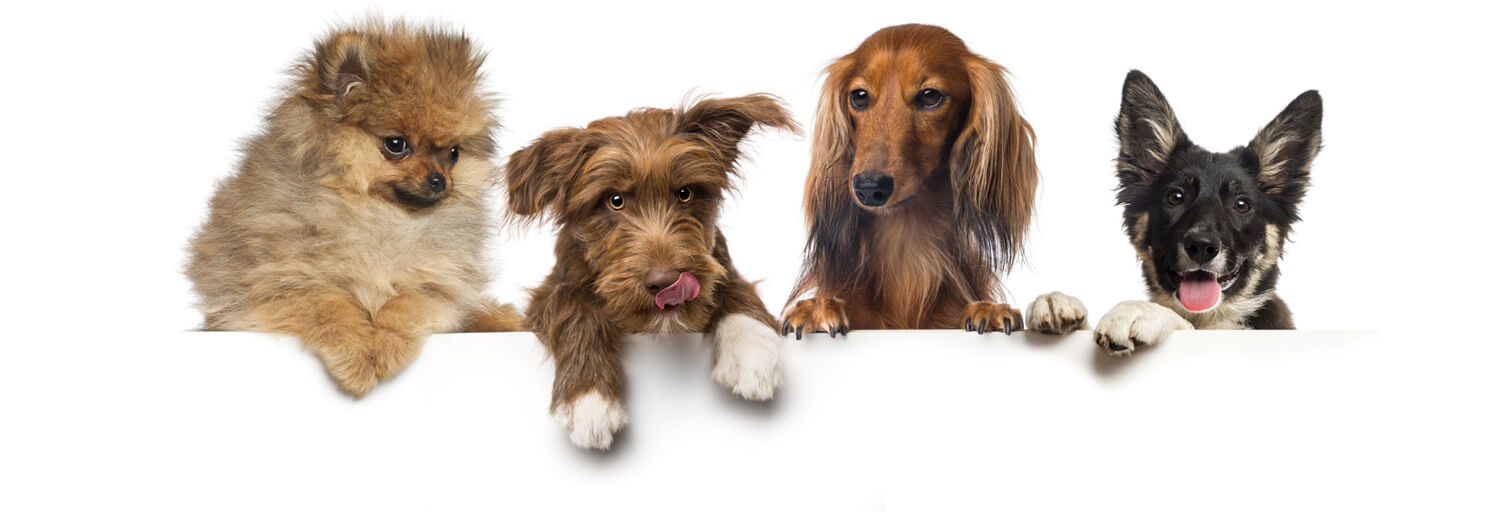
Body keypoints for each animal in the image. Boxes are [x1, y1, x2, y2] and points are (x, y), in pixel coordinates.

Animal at [187, 20, 522, 395]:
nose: (439, 180)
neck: (377, 216)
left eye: (453, 153)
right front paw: (357, 358)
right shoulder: (280, 284)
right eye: (396, 145)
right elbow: (330, 308)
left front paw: (387, 344)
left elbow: (405, 304)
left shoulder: (437, 284)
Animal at [504, 94, 796, 450]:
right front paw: (589, 398)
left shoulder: (718, 266)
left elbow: (734, 286)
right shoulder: (547, 295)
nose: (666, 283)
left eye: (684, 193)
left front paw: (752, 349)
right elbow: (571, 303)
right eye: (614, 200)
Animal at [778, 24, 1086, 336]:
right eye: (860, 96)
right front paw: (817, 308)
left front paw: (1015, 308)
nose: (869, 188)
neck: (907, 244)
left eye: (930, 96)